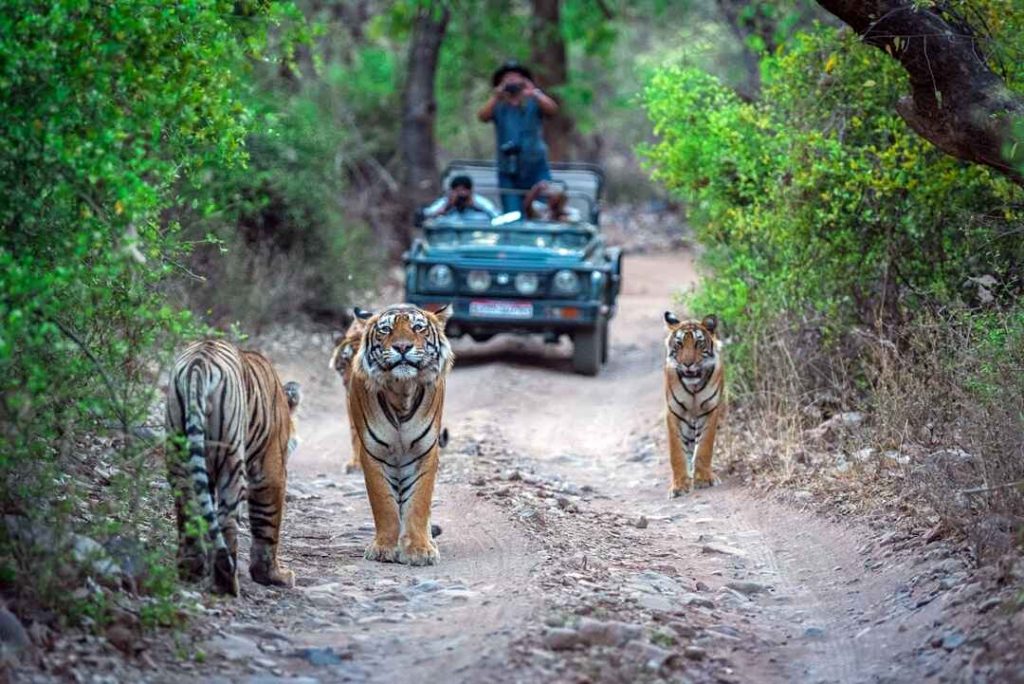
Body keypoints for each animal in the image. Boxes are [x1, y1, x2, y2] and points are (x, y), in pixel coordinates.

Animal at [164, 339, 299, 593]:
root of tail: (199, 363)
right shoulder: (271, 470)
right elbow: (268, 523)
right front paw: (273, 575)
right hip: (231, 460)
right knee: (226, 519)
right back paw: (227, 582)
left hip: (179, 453)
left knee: (189, 508)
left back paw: (192, 570)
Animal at [348, 305, 452, 565]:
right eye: (386, 330)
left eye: (418, 327)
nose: (402, 347)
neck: (401, 392)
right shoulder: (373, 454)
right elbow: (384, 503)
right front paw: (384, 547)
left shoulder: (425, 452)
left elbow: (419, 502)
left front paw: (419, 550)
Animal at [659, 311, 724, 497]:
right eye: (679, 344)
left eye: (698, 343)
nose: (687, 364)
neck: (693, 386)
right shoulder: (674, 413)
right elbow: (677, 452)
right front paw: (679, 485)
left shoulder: (710, 411)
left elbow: (704, 447)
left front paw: (704, 479)